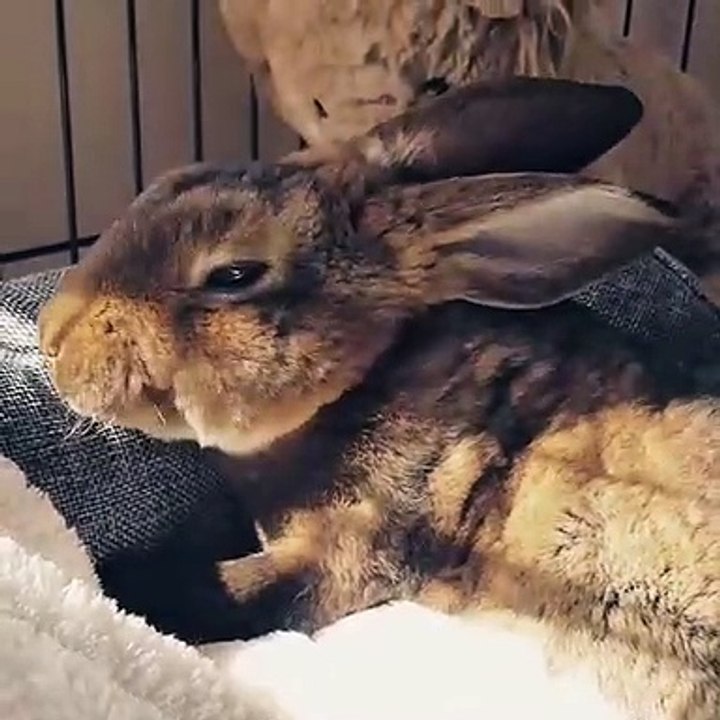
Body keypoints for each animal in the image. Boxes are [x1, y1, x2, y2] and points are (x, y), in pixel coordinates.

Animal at [39, 77, 720, 719]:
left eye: (234, 275)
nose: (51, 337)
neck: (364, 378)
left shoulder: (360, 539)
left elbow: (245, 590)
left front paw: (121, 581)